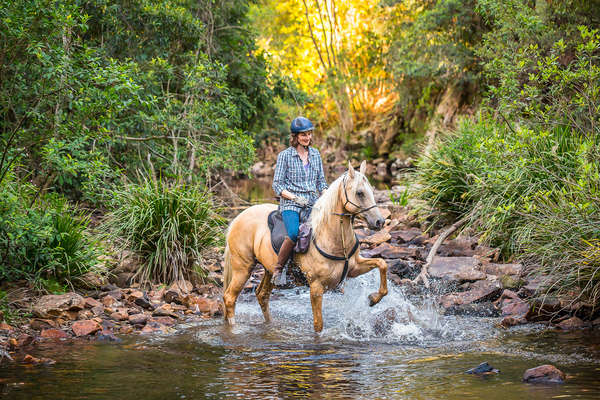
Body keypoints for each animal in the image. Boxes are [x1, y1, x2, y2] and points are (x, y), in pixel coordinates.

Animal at [223, 159, 386, 332]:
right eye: (360, 193)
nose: (380, 222)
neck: (331, 238)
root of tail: (238, 218)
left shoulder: (354, 268)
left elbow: (382, 263)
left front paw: (374, 298)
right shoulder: (316, 287)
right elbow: (318, 325)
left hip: (268, 270)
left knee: (262, 296)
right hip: (242, 268)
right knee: (229, 298)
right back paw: (234, 328)